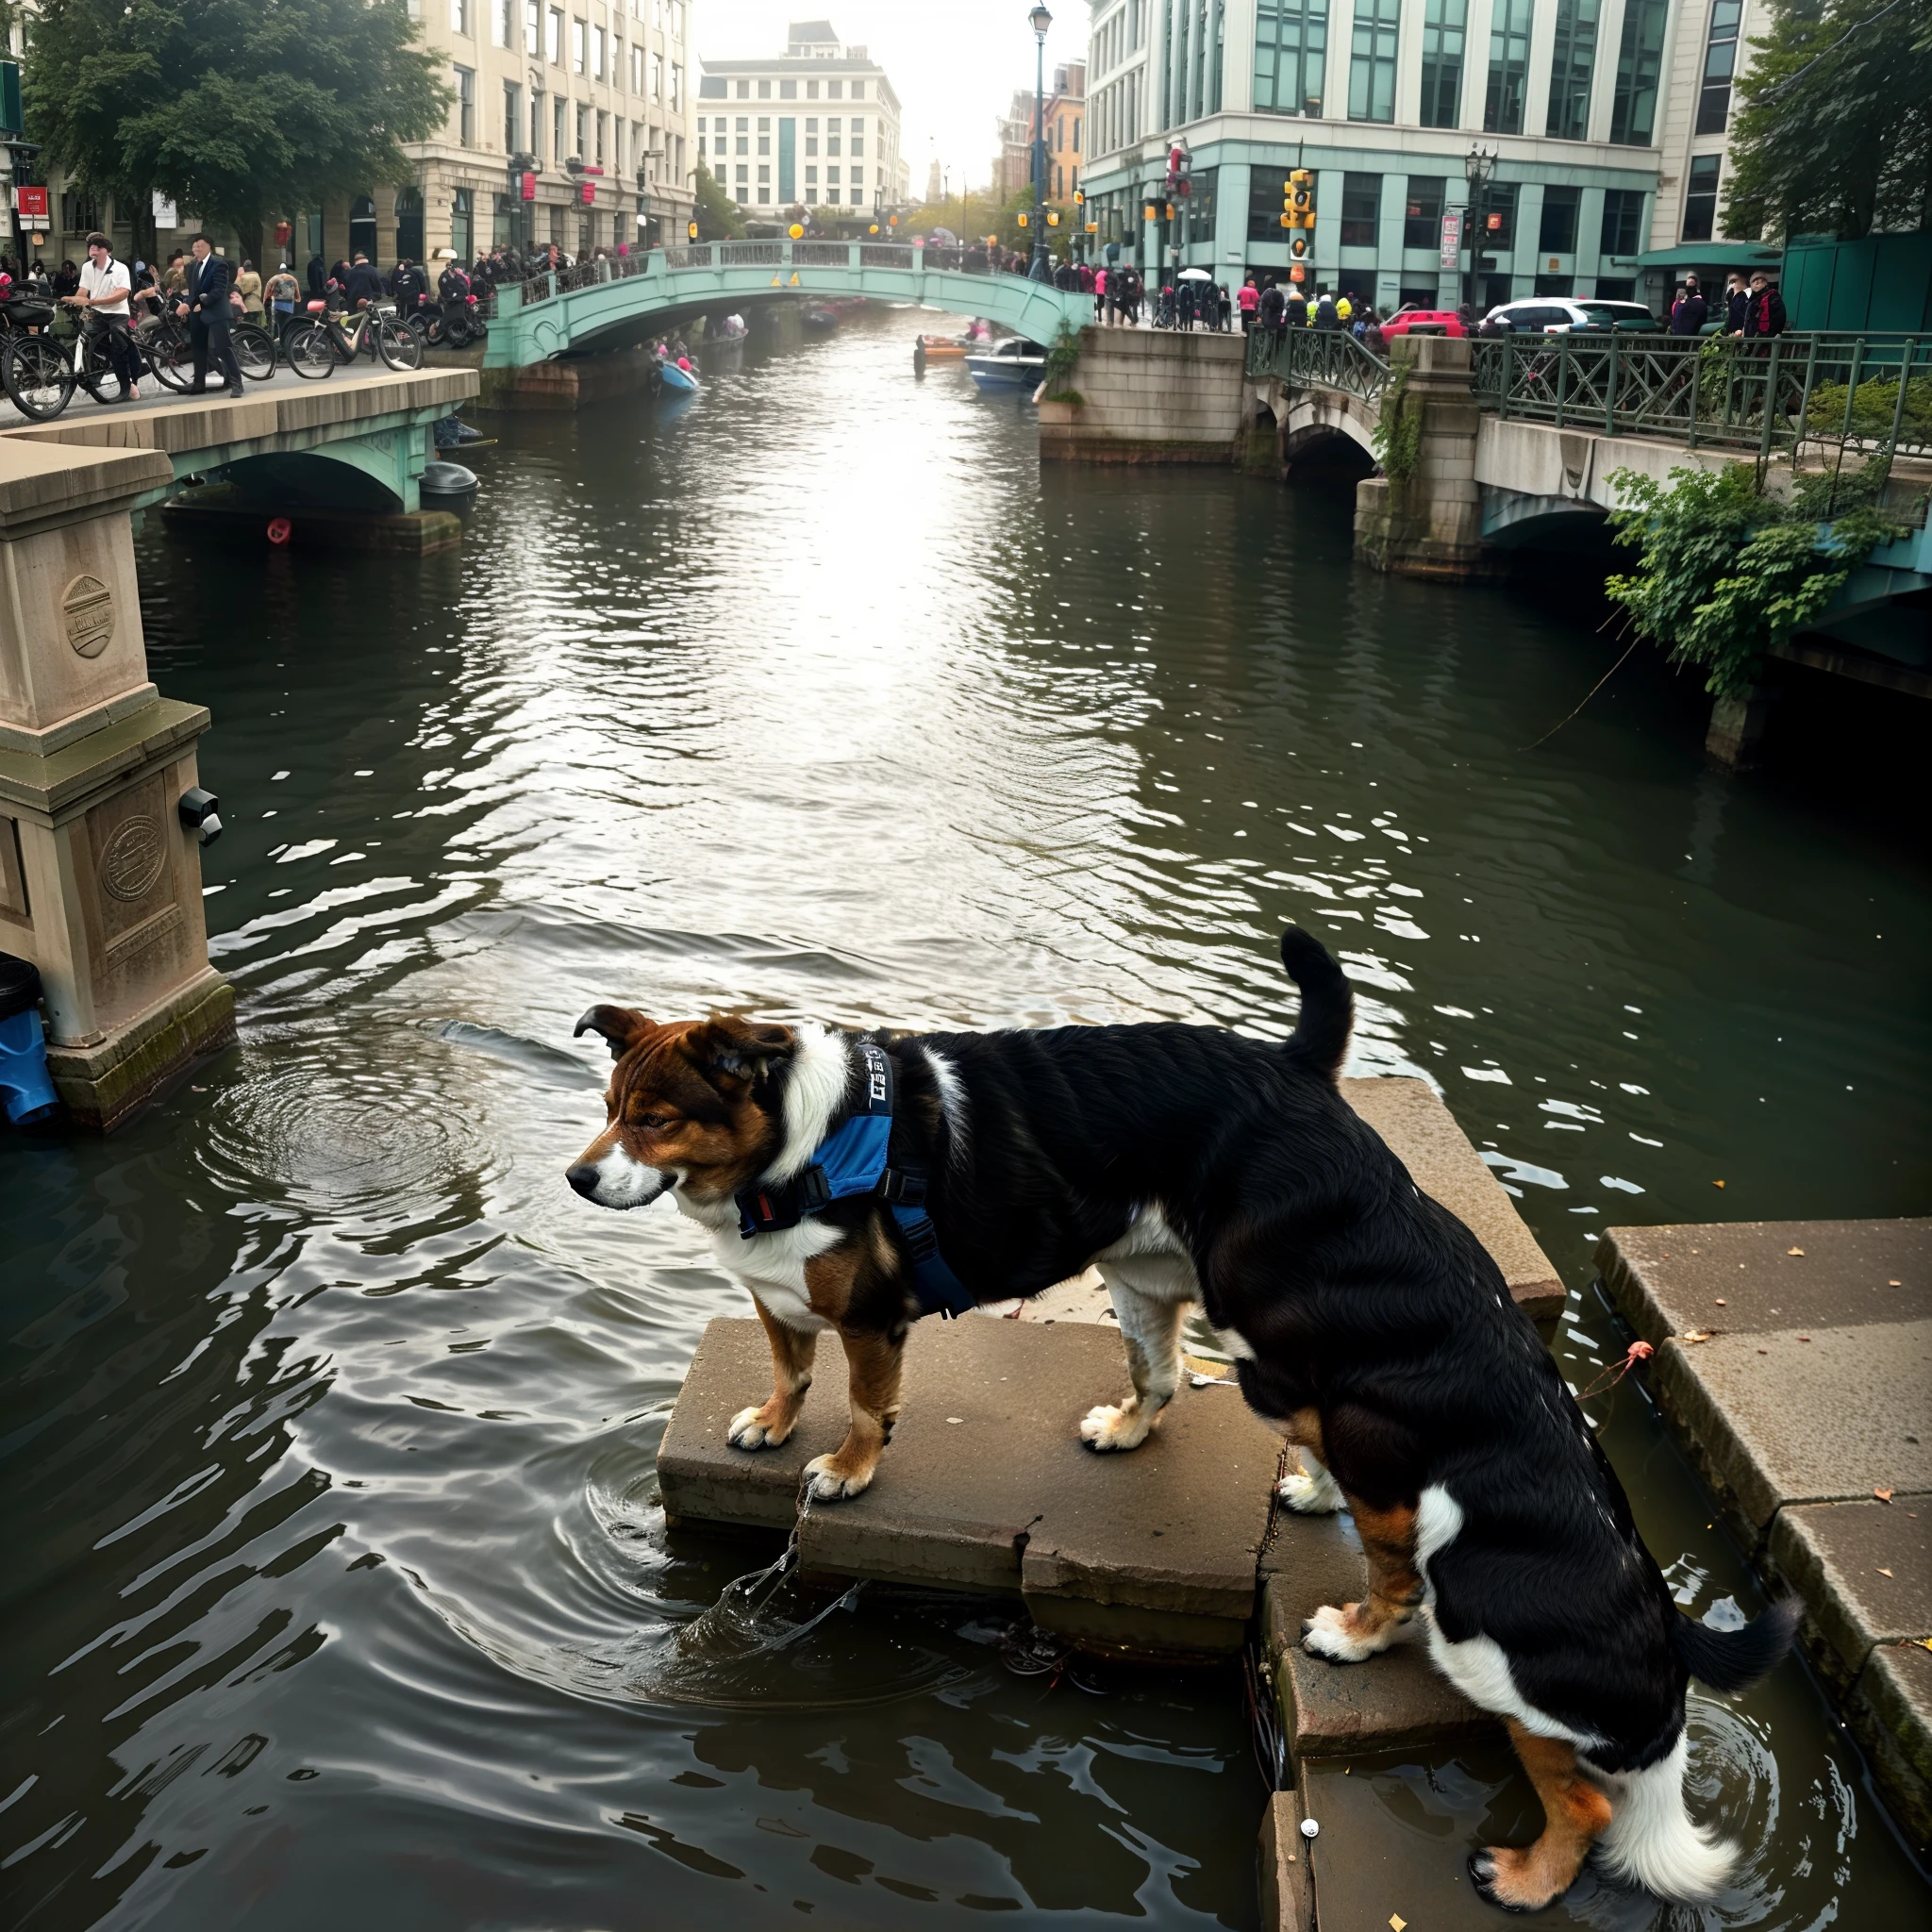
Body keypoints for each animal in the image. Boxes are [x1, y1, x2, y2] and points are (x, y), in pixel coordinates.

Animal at [564, 927, 1792, 1908]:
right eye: (608, 1110)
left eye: (656, 1118)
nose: (578, 1179)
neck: (797, 1142)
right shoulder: (781, 1296)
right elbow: (787, 1366)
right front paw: (772, 1422)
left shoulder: (866, 1311)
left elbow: (866, 1403)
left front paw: (848, 1467)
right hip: (1149, 1277)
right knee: (1164, 1379)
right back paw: (1163, 1438)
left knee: (1567, 1781)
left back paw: (1506, 1846)